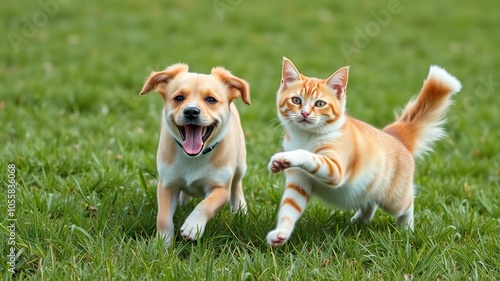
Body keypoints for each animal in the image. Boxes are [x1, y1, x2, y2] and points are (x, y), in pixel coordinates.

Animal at [140, 63, 250, 243]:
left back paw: (240, 210)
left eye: (211, 99)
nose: (191, 111)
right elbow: (163, 217)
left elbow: (206, 204)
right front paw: (162, 243)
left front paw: (193, 226)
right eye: (179, 98)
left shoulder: (220, 187)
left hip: (240, 165)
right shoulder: (167, 183)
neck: (195, 156)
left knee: (236, 185)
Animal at [266, 57, 460, 245]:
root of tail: (395, 136)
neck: (306, 136)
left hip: (394, 199)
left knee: (408, 202)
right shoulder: (298, 182)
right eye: (296, 100)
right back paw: (359, 221)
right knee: (369, 203)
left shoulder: (335, 168)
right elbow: (289, 208)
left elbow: (308, 155)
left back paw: (406, 228)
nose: (305, 114)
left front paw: (282, 158)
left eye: (320, 104)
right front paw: (281, 234)